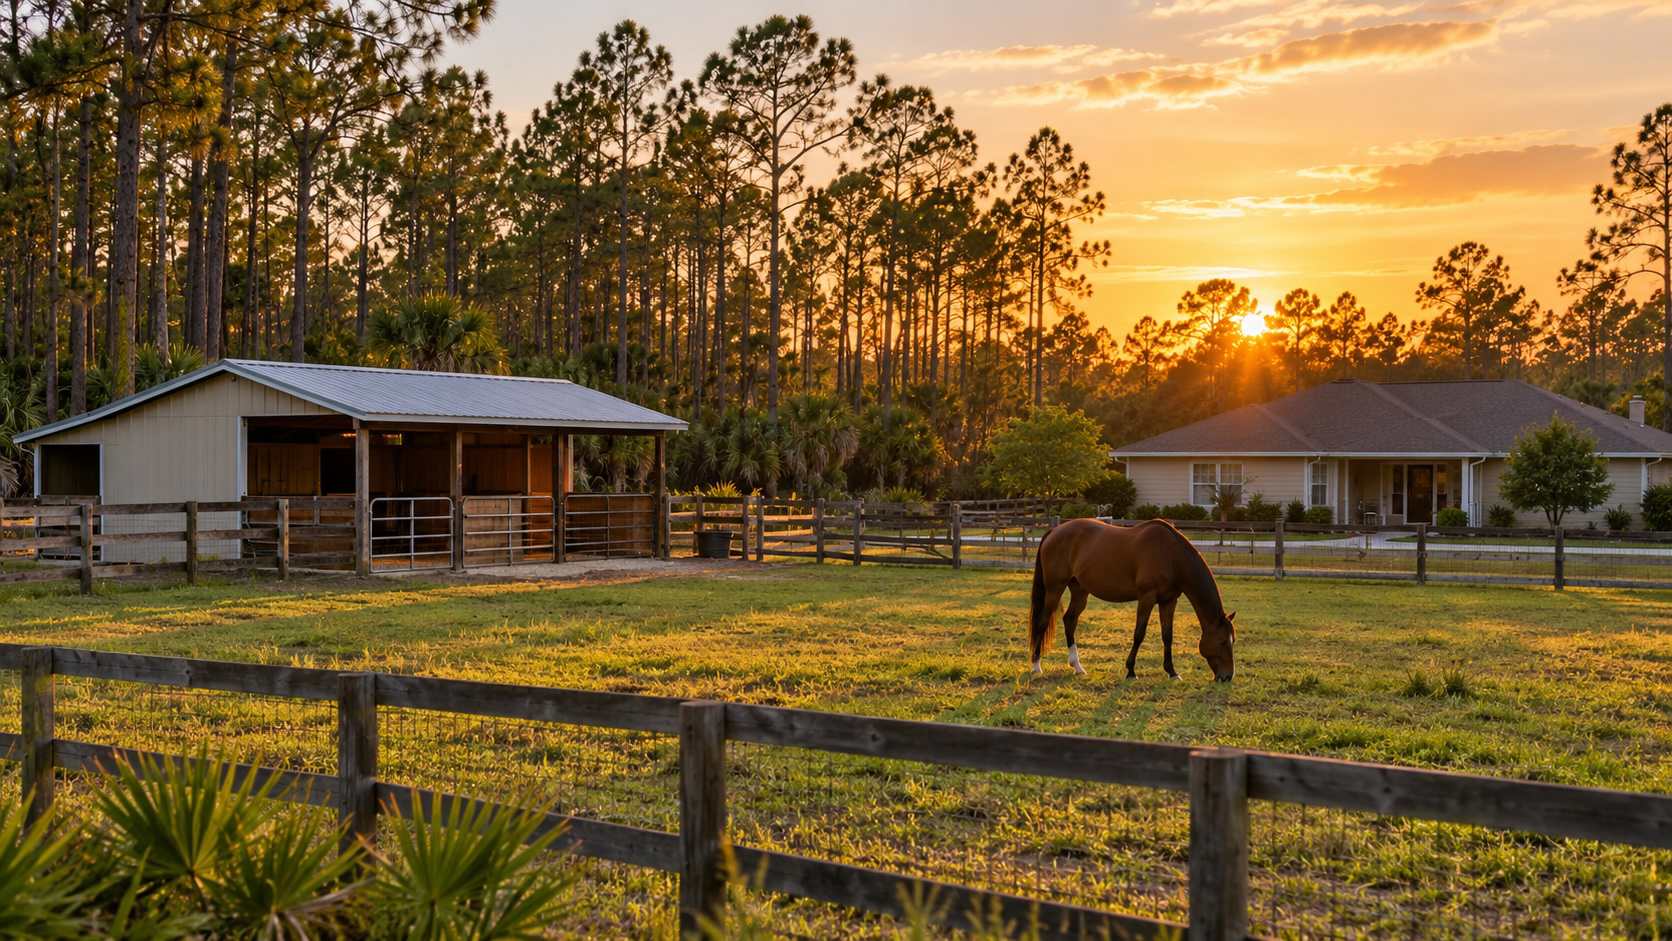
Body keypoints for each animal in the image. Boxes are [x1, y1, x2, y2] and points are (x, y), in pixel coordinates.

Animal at [1029, 517, 1236, 682]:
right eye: (1222, 642)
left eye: (1232, 641)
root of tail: (1055, 531)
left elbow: (1167, 636)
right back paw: (1036, 666)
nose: (1227, 677)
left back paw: (1078, 667)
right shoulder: (1146, 598)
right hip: (1055, 588)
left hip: (1079, 591)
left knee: (1069, 620)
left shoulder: (1169, 601)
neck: (1170, 555)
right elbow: (1139, 634)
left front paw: (1172, 672)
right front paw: (1130, 671)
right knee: (1042, 622)